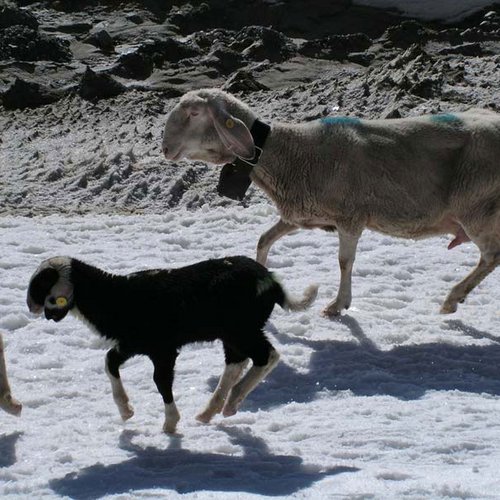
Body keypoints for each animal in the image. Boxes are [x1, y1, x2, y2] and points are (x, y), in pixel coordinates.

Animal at [161, 89, 500, 316]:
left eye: (194, 113)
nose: (164, 148)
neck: (287, 153)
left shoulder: (350, 215)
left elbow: (344, 261)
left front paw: (338, 305)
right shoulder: (299, 214)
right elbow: (263, 240)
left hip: (477, 206)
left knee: (491, 256)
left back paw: (452, 298)